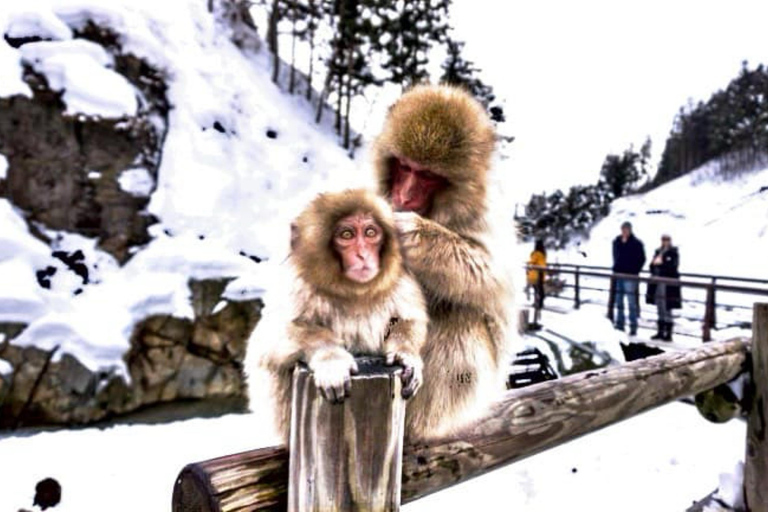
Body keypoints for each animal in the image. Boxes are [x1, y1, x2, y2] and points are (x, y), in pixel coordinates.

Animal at [246, 188, 428, 442]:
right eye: (346, 234)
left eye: (370, 233)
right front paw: (331, 359)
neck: (354, 292)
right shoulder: (298, 288)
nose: (362, 255)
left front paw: (406, 354)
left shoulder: (400, 283)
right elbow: (268, 342)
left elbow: (410, 319)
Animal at [371, 84, 517, 438]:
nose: (404, 196)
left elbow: (493, 280)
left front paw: (414, 234)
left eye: (427, 176)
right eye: (405, 167)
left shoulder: (484, 217)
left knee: (462, 316)